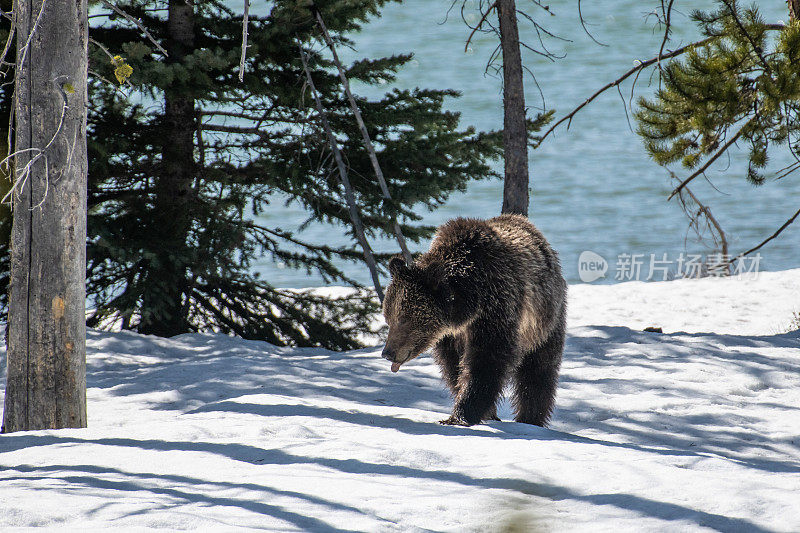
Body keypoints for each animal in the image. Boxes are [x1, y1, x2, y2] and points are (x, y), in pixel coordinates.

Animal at [382, 214, 564, 426]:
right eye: (388, 317)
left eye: (404, 319)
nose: (388, 353)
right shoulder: (451, 336)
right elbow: (454, 366)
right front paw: (482, 410)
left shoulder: (497, 309)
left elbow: (487, 360)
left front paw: (460, 414)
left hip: (544, 320)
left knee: (539, 370)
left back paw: (530, 417)